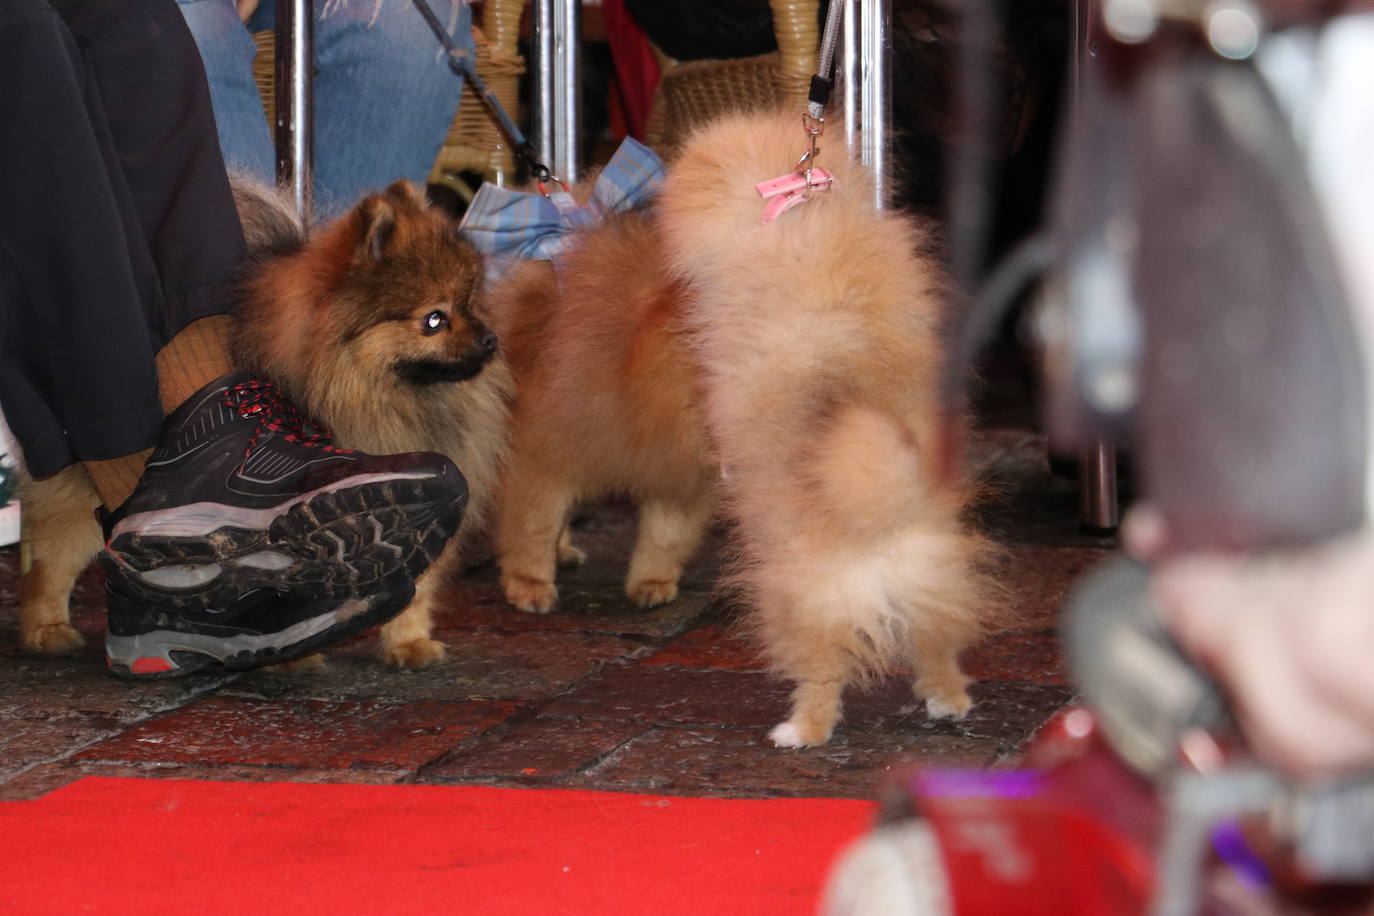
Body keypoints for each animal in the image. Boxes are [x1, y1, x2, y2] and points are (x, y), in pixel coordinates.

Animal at [16, 178, 513, 667]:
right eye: (434, 319)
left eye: (470, 303)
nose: (490, 338)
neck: (380, 395)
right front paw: (299, 653)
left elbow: (415, 582)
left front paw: (408, 643)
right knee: (50, 565)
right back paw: (46, 630)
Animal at [486, 204, 719, 612]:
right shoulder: (539, 460)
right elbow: (533, 528)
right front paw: (529, 585)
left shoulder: (672, 470)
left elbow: (665, 535)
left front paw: (652, 583)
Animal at [656, 111, 1000, 747]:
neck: (795, 206)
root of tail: (879, 529)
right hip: (935, 577)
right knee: (936, 645)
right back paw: (947, 700)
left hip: (800, 602)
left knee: (821, 675)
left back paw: (799, 730)